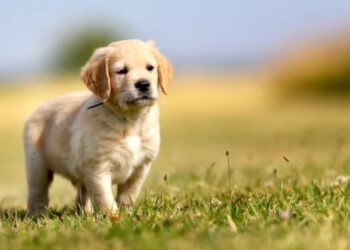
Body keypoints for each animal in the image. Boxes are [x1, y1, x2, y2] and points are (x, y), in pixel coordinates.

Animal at [22, 40, 172, 214]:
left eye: (150, 68)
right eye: (121, 71)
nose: (143, 84)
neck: (129, 119)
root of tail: (36, 110)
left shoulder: (142, 165)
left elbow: (129, 194)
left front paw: (127, 213)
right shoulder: (97, 167)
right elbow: (104, 197)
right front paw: (112, 216)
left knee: (82, 194)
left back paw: (84, 213)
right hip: (37, 166)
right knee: (38, 194)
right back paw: (38, 215)